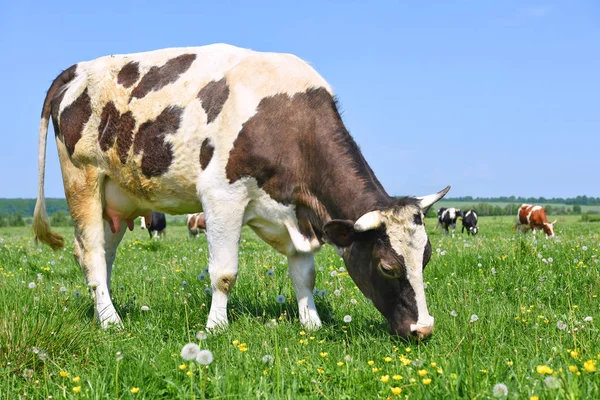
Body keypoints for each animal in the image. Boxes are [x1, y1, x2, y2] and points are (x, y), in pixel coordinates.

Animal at [31, 43, 450, 338]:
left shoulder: (295, 213)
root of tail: (79, 69)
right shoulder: (222, 197)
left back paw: (104, 310)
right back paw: (111, 322)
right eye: (387, 267)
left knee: (103, 255)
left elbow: (305, 274)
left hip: (116, 199)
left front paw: (311, 324)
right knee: (91, 254)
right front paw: (216, 328)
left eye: (426, 257)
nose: (423, 329)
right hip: (82, 179)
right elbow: (224, 273)